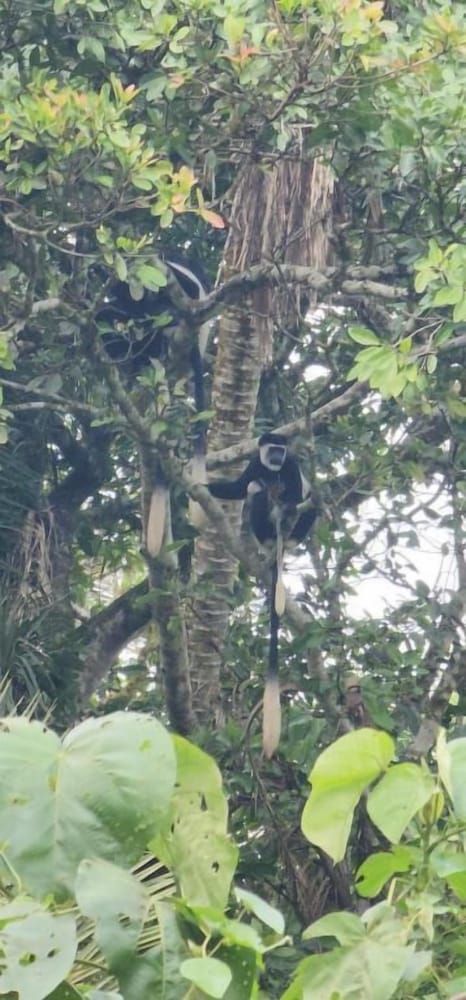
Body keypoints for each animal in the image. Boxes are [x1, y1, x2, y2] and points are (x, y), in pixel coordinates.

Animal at [208, 432, 317, 757]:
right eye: (272, 450)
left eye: (282, 450)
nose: (278, 457)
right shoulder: (256, 462)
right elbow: (239, 486)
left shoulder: (291, 465)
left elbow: (297, 494)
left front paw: (288, 502)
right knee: (254, 488)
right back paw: (268, 539)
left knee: (310, 502)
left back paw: (288, 535)